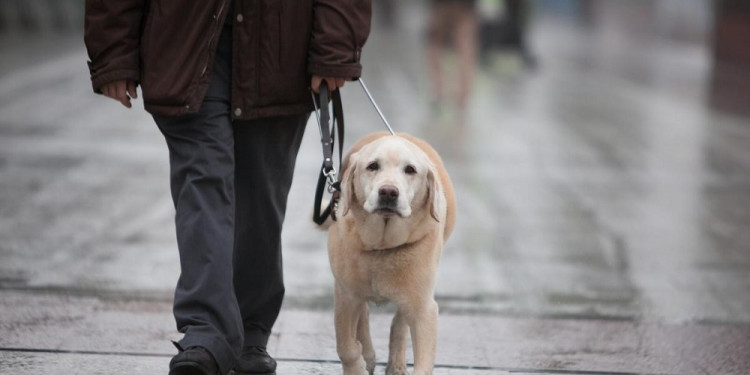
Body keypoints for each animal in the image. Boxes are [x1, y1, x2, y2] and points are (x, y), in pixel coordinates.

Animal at [326, 132, 456, 375]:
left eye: (410, 170)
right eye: (372, 166)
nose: (388, 192)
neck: (382, 246)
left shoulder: (424, 308)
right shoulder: (345, 295)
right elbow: (346, 346)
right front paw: (357, 366)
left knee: (399, 321)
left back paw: (395, 364)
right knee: (364, 315)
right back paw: (368, 355)